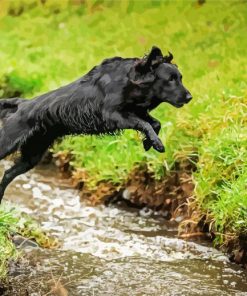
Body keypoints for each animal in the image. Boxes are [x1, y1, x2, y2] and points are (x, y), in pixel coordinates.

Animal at [0, 46, 192, 202]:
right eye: (170, 79)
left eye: (181, 77)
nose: (189, 97)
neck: (130, 80)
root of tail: (21, 103)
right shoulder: (112, 115)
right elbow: (145, 124)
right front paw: (157, 144)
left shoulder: (137, 111)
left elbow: (154, 123)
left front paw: (148, 143)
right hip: (9, 143)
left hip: (33, 154)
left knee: (8, 173)